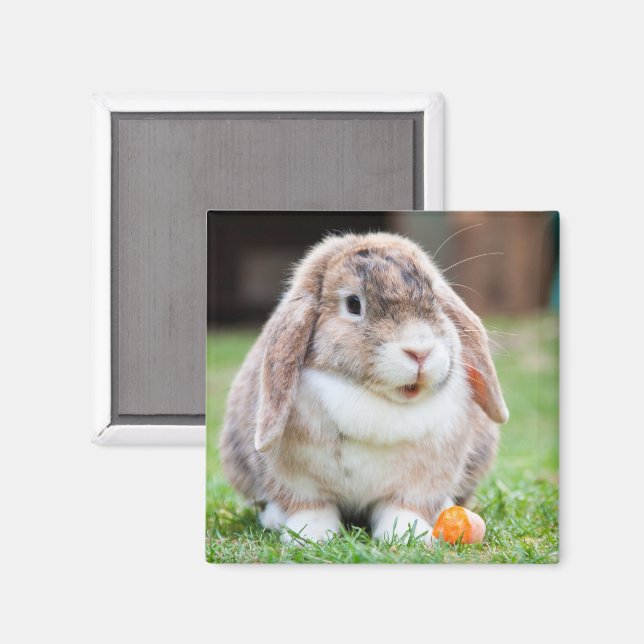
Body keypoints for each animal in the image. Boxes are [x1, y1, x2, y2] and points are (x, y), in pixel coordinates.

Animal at [219, 232, 508, 545]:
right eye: (353, 304)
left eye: (433, 297)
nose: (420, 351)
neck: (374, 399)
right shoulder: (297, 481)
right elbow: (311, 507)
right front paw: (311, 536)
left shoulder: (420, 483)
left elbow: (403, 508)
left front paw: (407, 535)